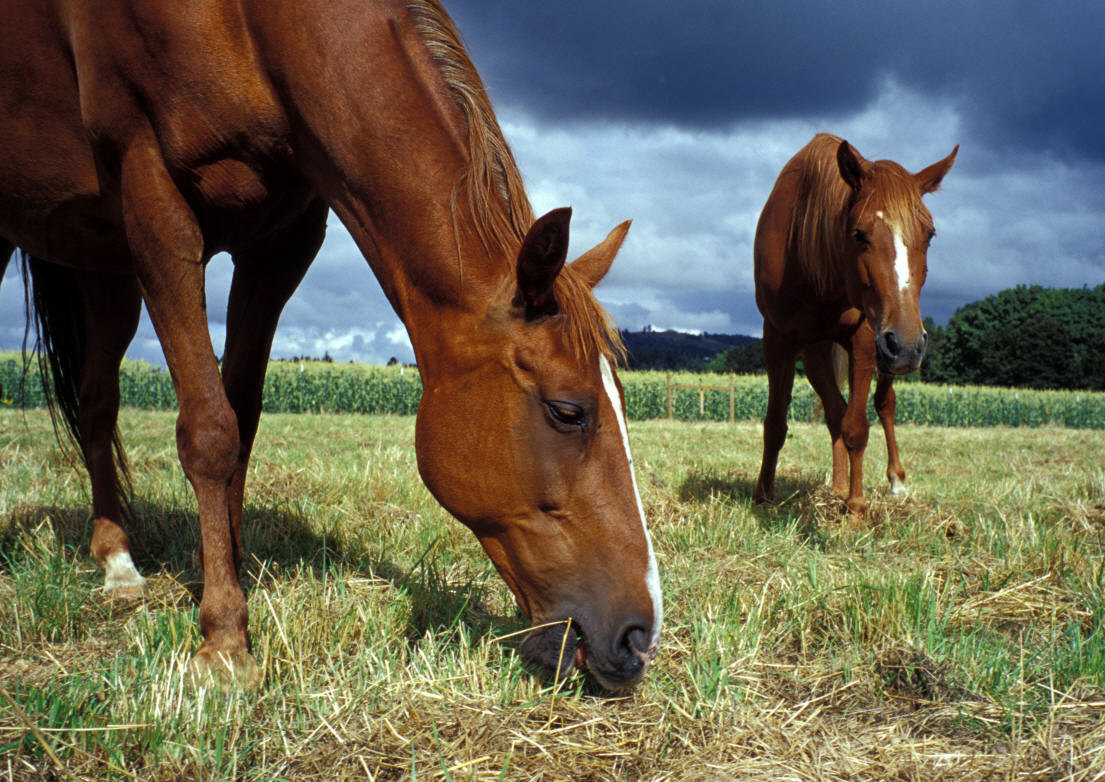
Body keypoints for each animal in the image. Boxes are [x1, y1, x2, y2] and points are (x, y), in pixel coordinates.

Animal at [0, 0, 658, 689]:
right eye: (567, 411)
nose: (639, 637)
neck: (253, 30)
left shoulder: (280, 244)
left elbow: (242, 421)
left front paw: (231, 572)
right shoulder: (155, 203)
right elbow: (209, 431)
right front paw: (224, 640)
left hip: (104, 268)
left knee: (96, 402)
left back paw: (116, 559)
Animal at [751, 134, 959, 516]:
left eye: (930, 234)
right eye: (858, 234)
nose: (907, 346)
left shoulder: (865, 340)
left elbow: (857, 427)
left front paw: (857, 509)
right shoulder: (776, 338)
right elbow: (776, 423)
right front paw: (763, 496)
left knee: (884, 404)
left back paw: (895, 483)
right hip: (826, 353)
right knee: (835, 411)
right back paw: (836, 486)